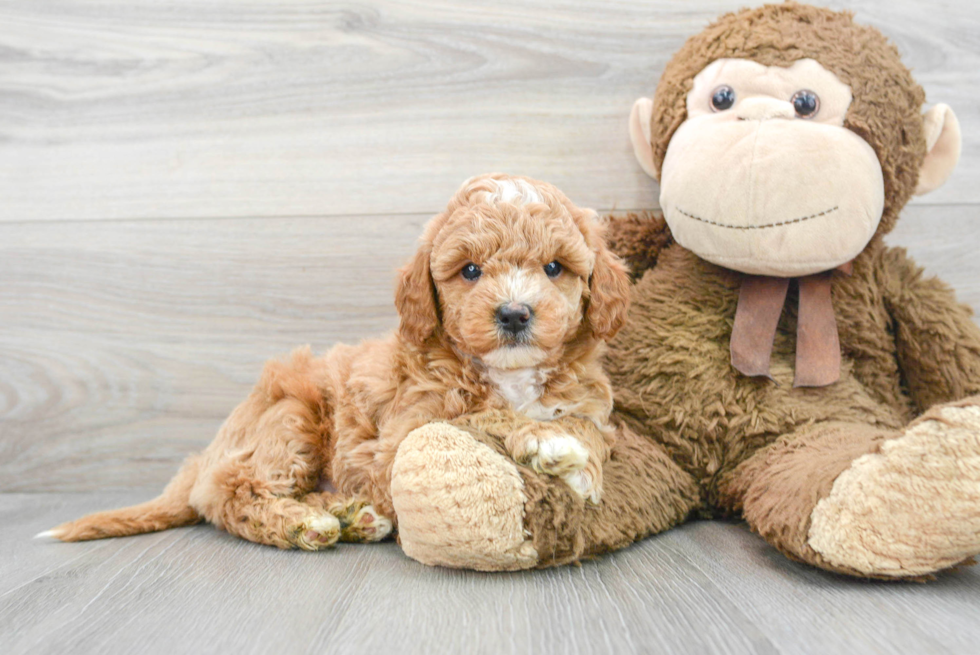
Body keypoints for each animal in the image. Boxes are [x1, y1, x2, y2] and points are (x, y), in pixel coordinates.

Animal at [40, 172, 628, 552]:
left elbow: (590, 427)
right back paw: (307, 524)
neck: (509, 374)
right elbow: (480, 416)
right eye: (469, 271)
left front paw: (579, 457)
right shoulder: (401, 434)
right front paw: (547, 441)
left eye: (554, 268)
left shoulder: (590, 404)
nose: (513, 313)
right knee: (232, 492)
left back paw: (351, 514)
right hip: (290, 417)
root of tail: (205, 455)